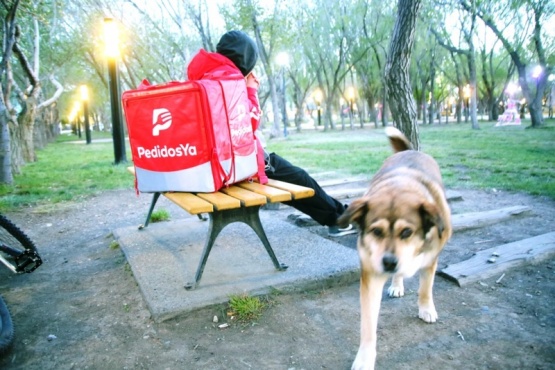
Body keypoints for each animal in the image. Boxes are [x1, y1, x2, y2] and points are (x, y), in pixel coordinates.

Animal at [338, 125, 452, 368]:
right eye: (376, 231)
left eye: (407, 232)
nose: (389, 262)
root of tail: (409, 150)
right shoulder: (371, 274)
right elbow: (368, 323)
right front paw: (365, 357)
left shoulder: (431, 258)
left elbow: (426, 288)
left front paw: (426, 308)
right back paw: (397, 283)